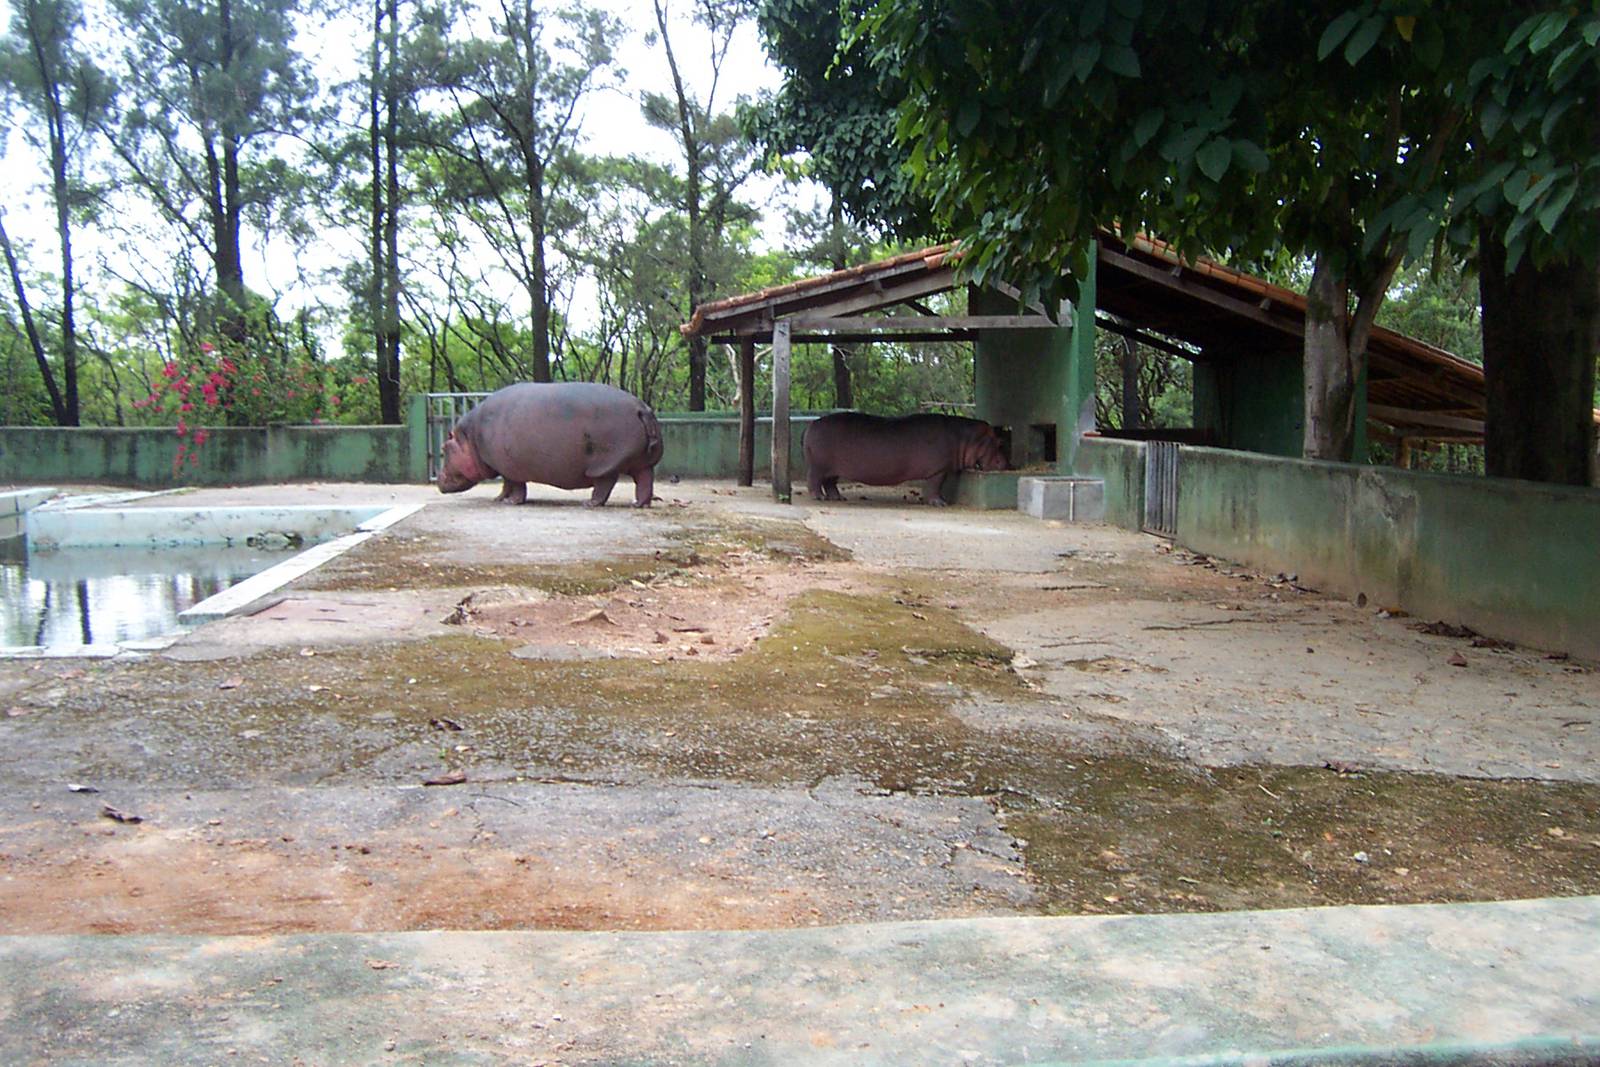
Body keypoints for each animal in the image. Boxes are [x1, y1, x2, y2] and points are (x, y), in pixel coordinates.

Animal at [437, 382, 664, 507]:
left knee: (604, 485)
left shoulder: (509, 467)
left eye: (443, 448)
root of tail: (642, 408)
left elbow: (515, 486)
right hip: (641, 462)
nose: (439, 479)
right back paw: (638, 505)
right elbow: (506, 485)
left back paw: (589, 503)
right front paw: (498, 499)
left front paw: (510, 502)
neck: (470, 437)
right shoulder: (503, 467)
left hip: (605, 463)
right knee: (645, 481)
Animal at [802, 412, 1008, 506]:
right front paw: (940, 503)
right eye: (999, 442)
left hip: (833, 468)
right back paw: (819, 497)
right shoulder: (939, 470)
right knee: (814, 480)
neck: (966, 437)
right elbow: (935, 486)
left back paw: (838, 498)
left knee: (830, 483)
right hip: (819, 465)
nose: (1007, 464)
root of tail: (812, 424)